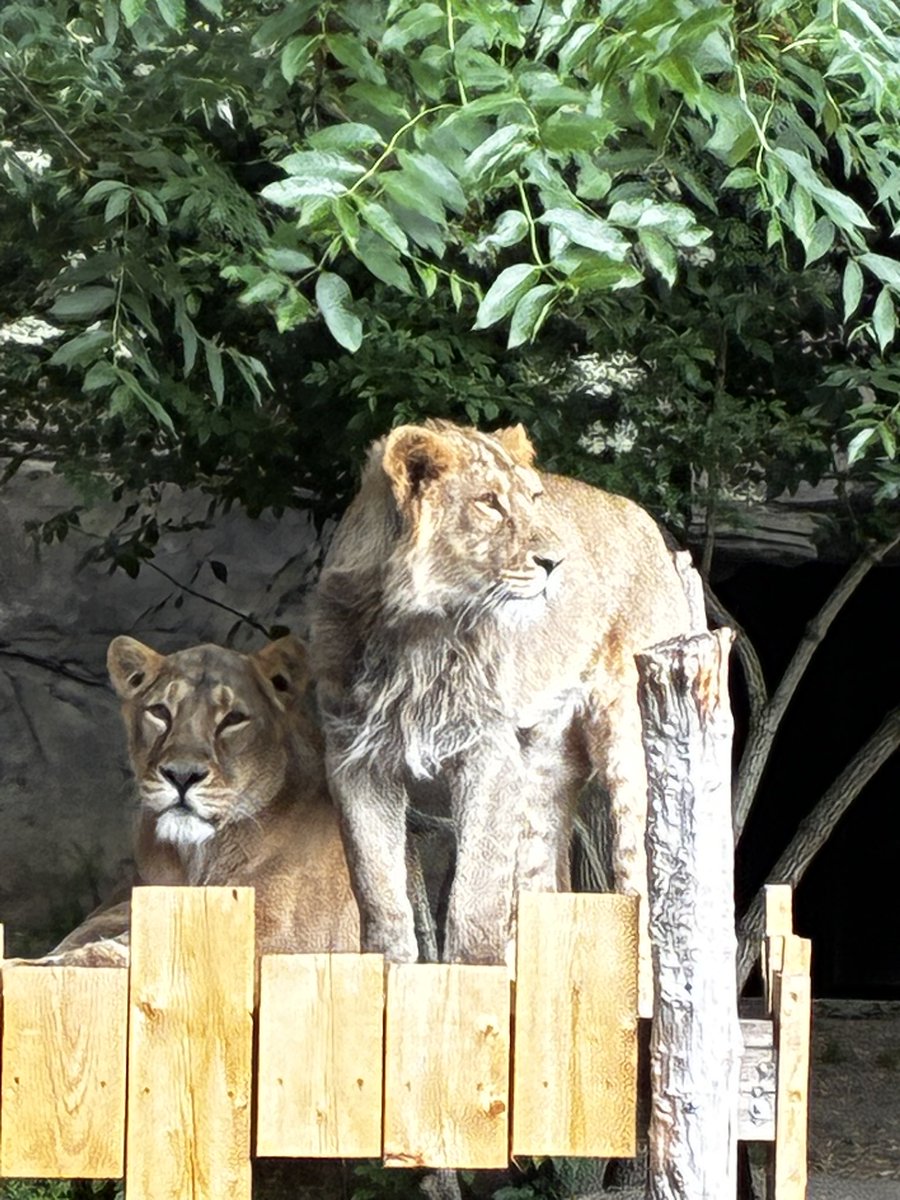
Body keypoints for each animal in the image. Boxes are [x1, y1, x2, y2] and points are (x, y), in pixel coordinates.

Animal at [309, 419, 696, 1012]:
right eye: (489, 503)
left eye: (534, 500)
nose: (556, 563)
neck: (417, 631)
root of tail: (647, 521)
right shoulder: (355, 755)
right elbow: (378, 885)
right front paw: (386, 978)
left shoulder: (486, 750)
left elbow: (476, 886)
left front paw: (472, 983)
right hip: (541, 766)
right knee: (542, 882)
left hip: (630, 740)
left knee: (640, 872)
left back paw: (646, 998)